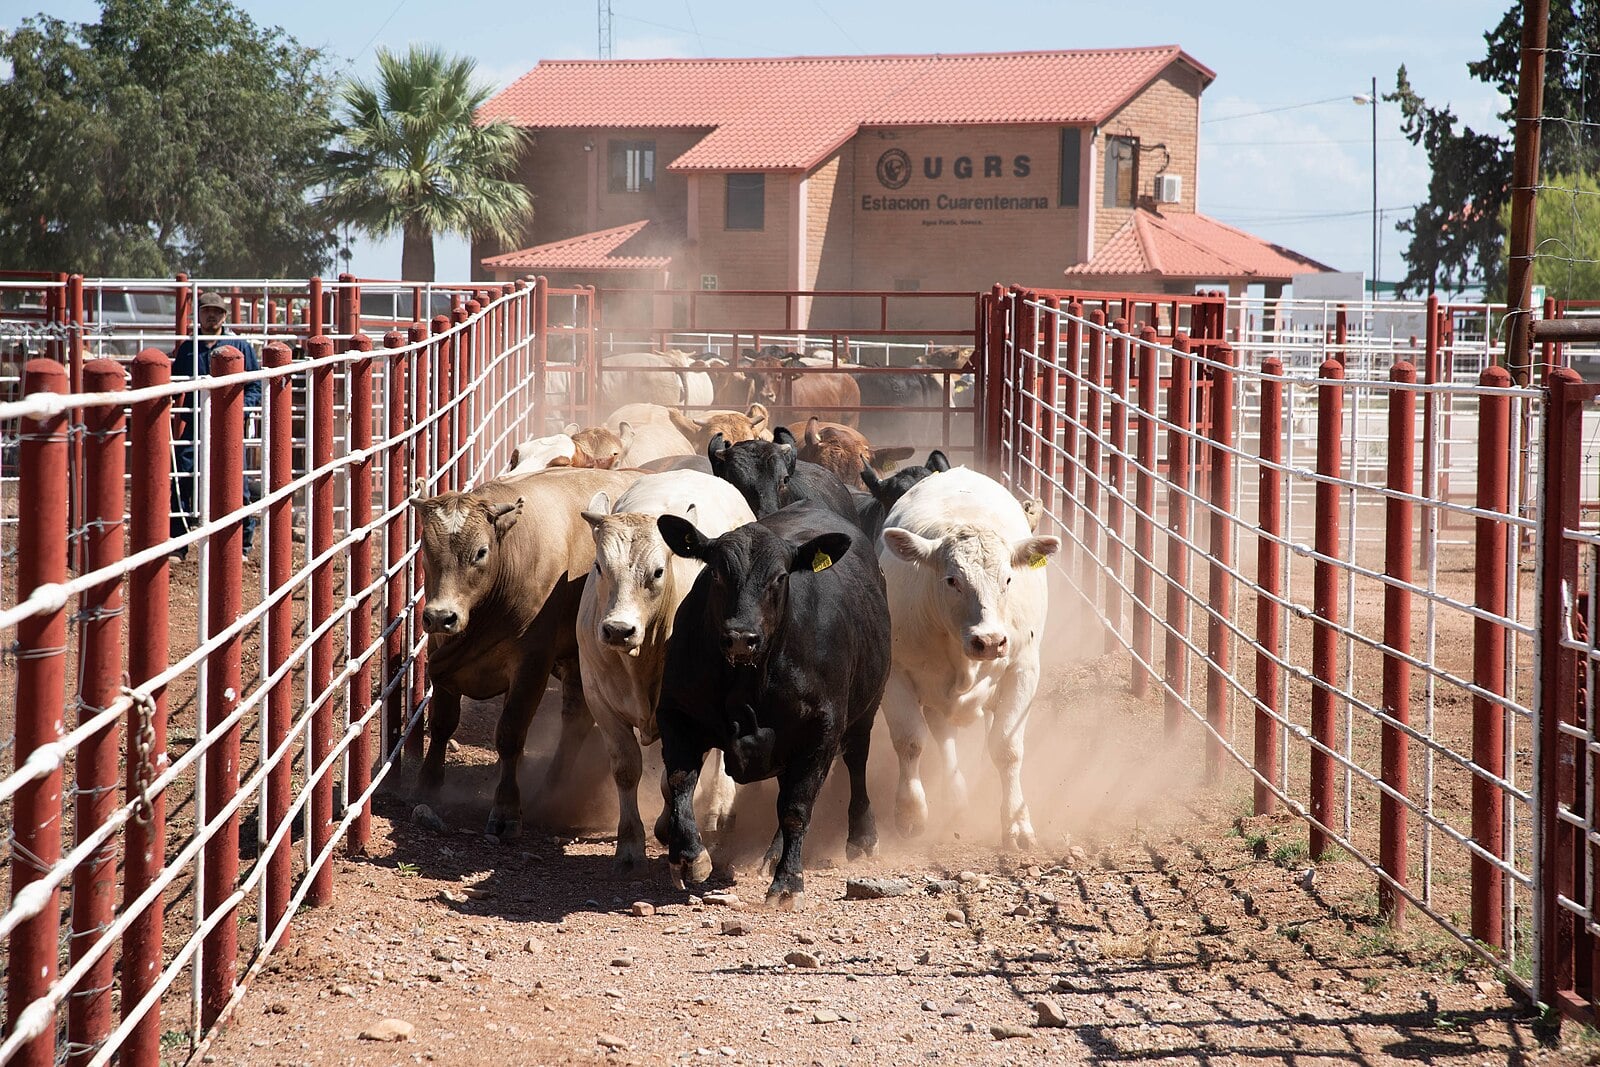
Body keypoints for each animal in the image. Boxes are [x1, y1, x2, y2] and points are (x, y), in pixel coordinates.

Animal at [411, 466, 641, 839]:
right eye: (427, 548)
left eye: (481, 552)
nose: (441, 616)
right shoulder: (442, 656)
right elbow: (444, 722)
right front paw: (428, 784)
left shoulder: (532, 665)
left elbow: (510, 732)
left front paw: (506, 809)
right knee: (576, 717)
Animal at [577, 471, 757, 872]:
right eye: (599, 567)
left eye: (658, 572)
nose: (618, 629)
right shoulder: (598, 700)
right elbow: (626, 768)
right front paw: (630, 845)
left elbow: (674, 777)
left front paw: (667, 829)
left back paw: (720, 808)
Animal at [655, 504, 891, 907]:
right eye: (716, 572)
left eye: (779, 578)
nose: (740, 637)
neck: (749, 682)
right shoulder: (676, 712)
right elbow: (679, 781)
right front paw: (688, 856)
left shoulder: (821, 730)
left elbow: (797, 808)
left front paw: (788, 883)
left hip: (865, 709)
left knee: (855, 762)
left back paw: (861, 837)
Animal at [877, 467, 1061, 848]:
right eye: (951, 580)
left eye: (1008, 578)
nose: (989, 641)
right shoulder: (895, 674)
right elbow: (910, 741)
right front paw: (910, 813)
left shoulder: (1023, 669)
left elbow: (1007, 747)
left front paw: (1016, 823)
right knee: (943, 735)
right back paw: (955, 796)